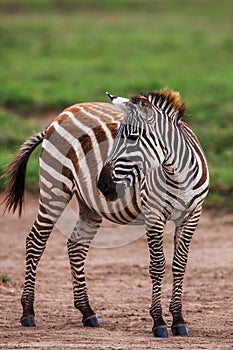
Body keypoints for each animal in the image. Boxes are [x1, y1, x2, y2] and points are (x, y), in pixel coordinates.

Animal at [1, 88, 209, 340]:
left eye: (132, 138)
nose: (103, 184)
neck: (177, 176)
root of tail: (62, 114)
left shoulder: (192, 216)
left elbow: (180, 265)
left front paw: (178, 320)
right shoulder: (154, 215)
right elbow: (158, 265)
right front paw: (158, 321)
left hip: (89, 204)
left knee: (76, 246)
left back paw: (87, 312)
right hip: (54, 188)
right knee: (35, 241)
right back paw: (28, 312)